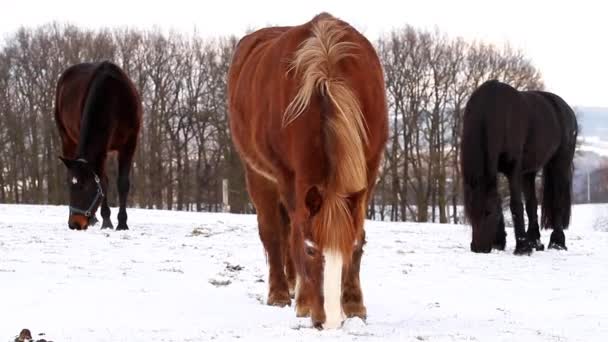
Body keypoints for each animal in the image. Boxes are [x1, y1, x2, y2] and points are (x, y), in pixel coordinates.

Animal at [54, 61, 142, 232]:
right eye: (69, 186)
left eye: (84, 186)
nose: (75, 224)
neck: (113, 96)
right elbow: (104, 181)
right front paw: (106, 221)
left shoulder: (129, 144)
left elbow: (122, 183)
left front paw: (122, 223)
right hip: (67, 138)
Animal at [228, 12, 390, 328]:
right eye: (311, 248)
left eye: (352, 247)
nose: (330, 322)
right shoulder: (288, 176)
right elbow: (291, 235)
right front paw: (304, 301)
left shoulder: (370, 167)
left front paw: (354, 304)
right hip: (259, 176)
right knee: (273, 233)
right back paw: (281, 292)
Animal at [464, 79, 576, 254]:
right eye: (469, 212)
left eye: (488, 213)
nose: (477, 248)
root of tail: (565, 108)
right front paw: (500, 242)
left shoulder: (513, 169)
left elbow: (515, 205)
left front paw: (522, 248)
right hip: (529, 173)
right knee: (532, 204)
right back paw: (535, 242)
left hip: (560, 165)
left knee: (558, 201)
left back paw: (557, 243)